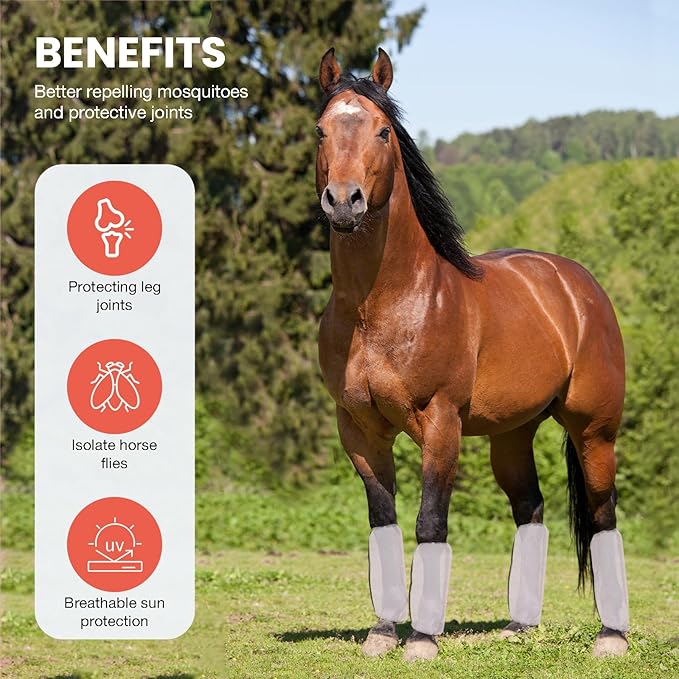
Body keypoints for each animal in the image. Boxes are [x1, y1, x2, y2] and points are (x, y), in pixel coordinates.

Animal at [315, 47, 629, 662]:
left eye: (383, 131)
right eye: (319, 131)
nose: (344, 202)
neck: (381, 307)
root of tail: (577, 284)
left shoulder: (441, 424)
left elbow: (429, 523)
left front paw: (422, 640)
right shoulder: (359, 430)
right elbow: (383, 523)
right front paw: (383, 633)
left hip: (594, 431)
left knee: (603, 514)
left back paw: (612, 636)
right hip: (512, 435)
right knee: (530, 509)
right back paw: (520, 626)